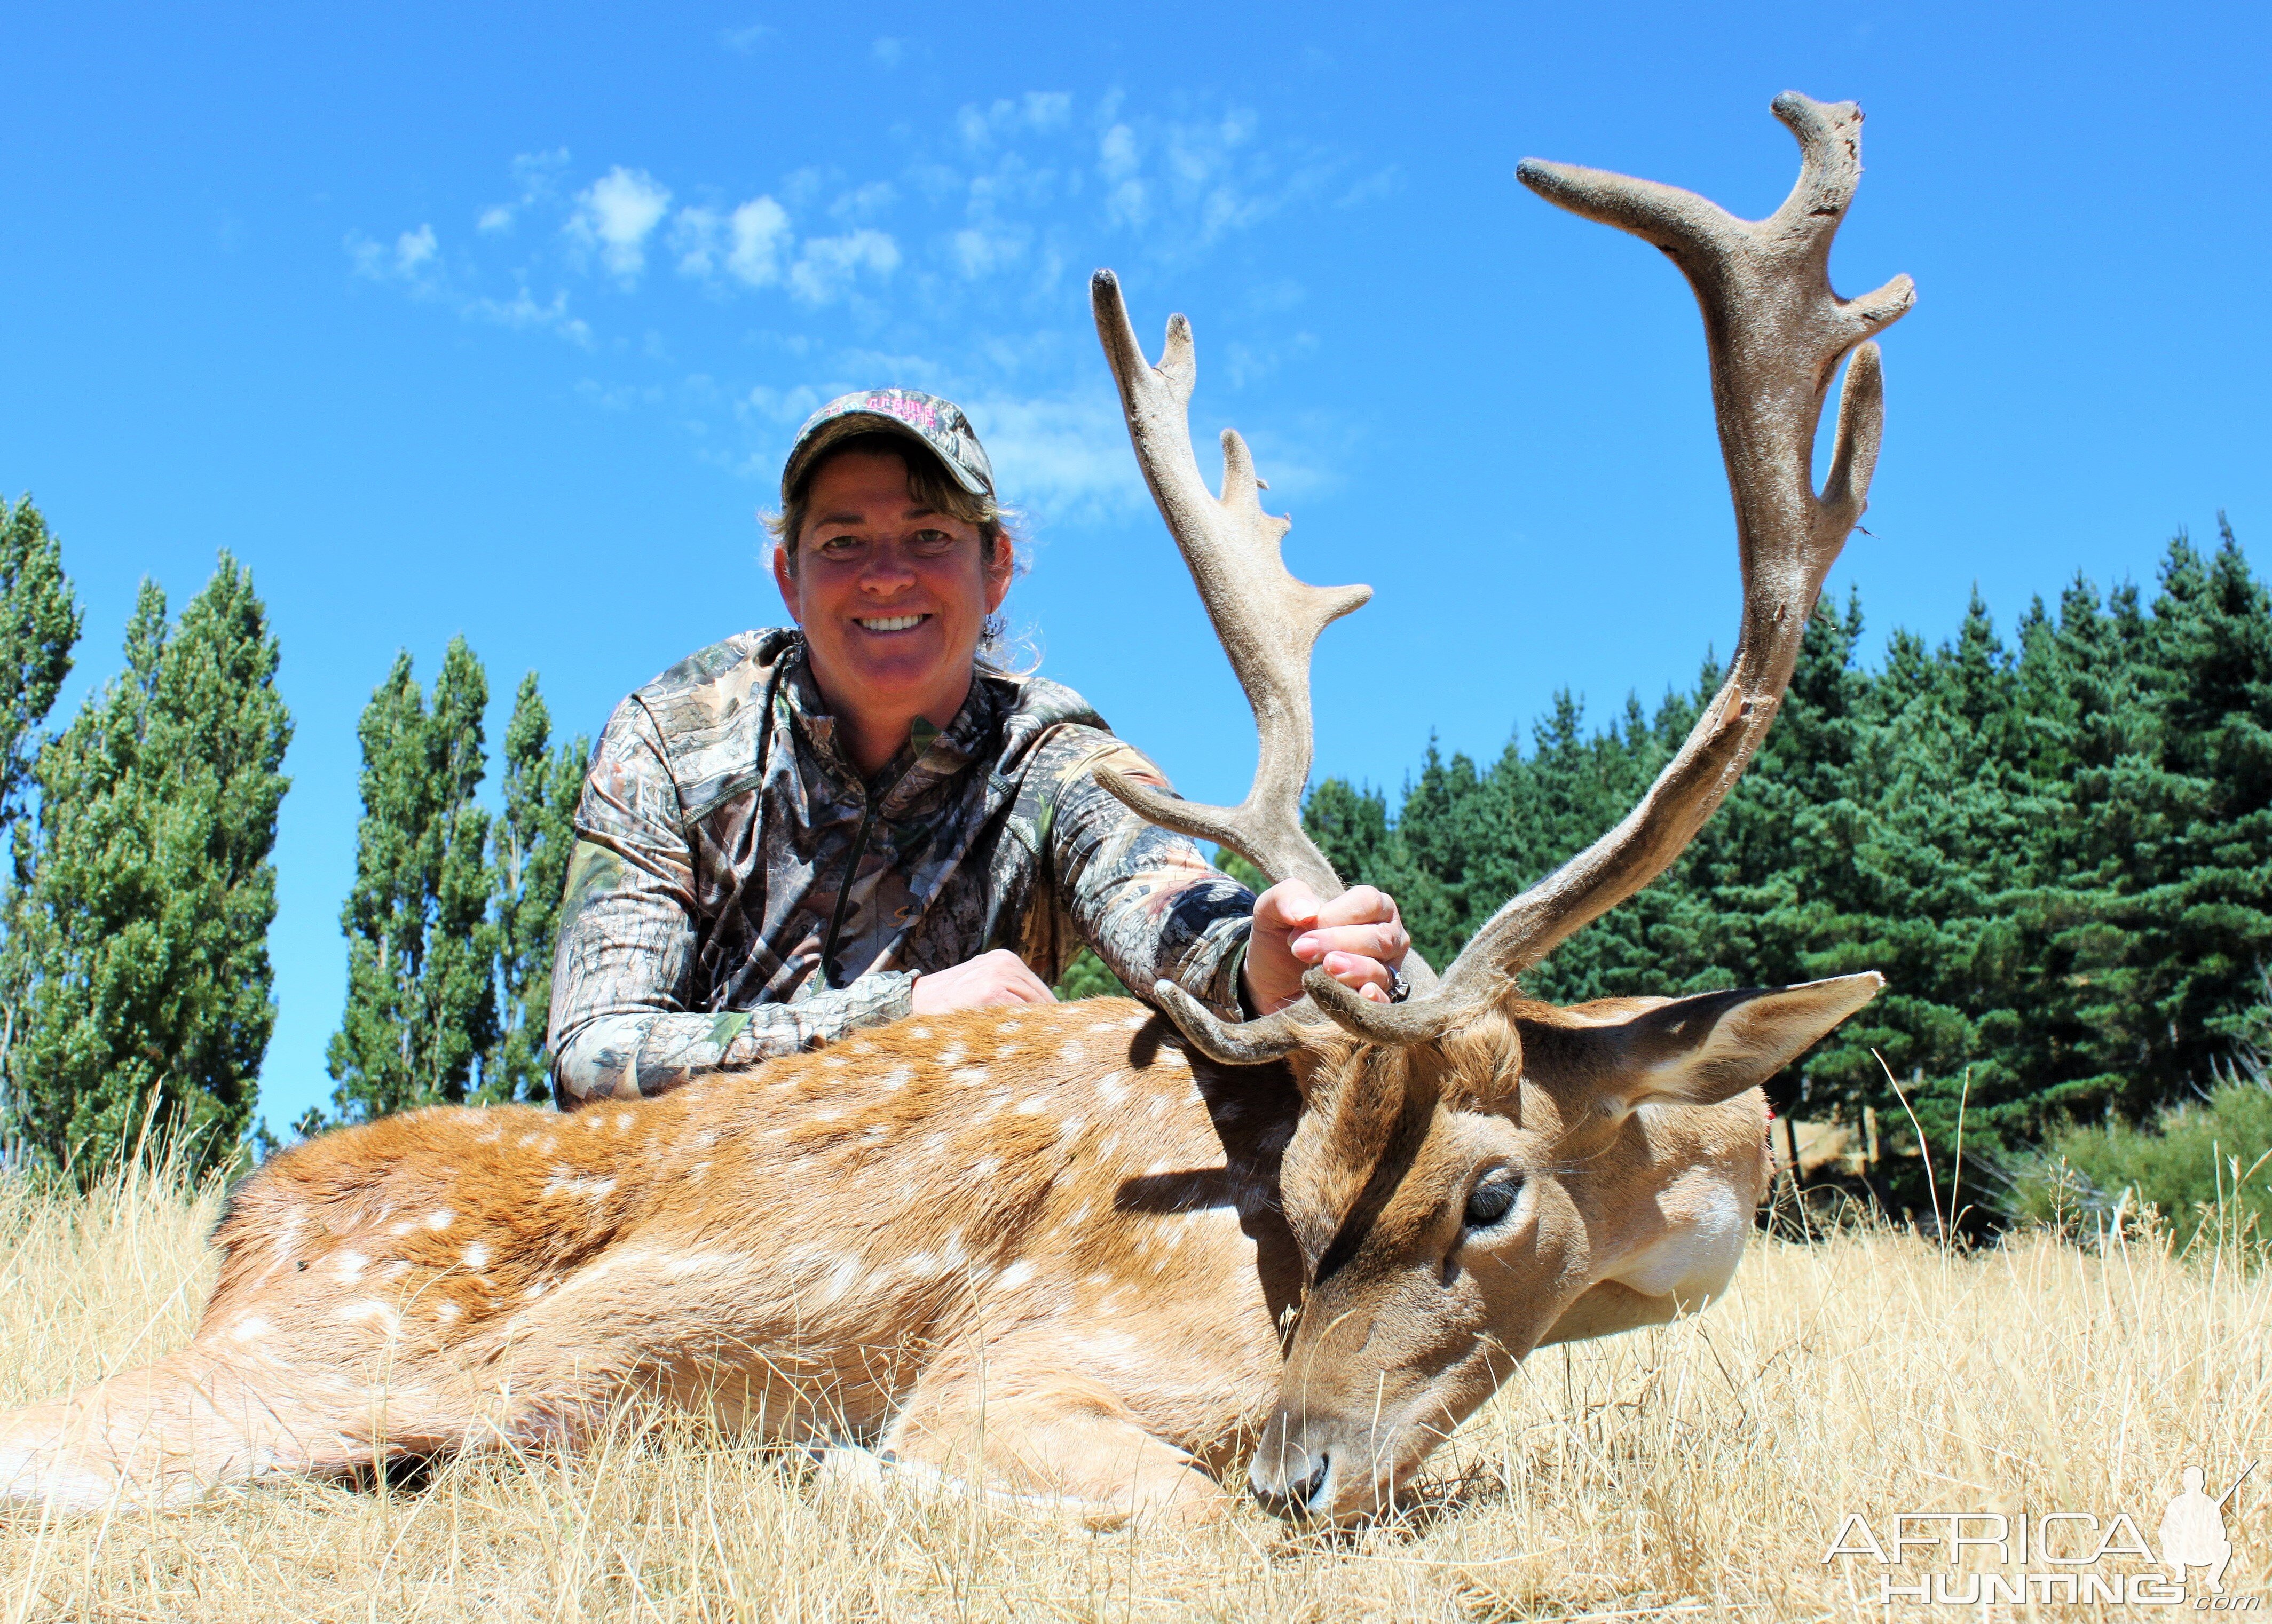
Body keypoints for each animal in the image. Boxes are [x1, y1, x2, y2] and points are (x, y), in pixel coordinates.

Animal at [9, 92, 1908, 1535]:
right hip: (325, 1351)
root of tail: (245, 1214)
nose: (1302, 1463)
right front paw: (864, 1476)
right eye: (1293, 1197)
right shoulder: (1037, 1358)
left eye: (1491, 1194)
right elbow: (1149, 1503)